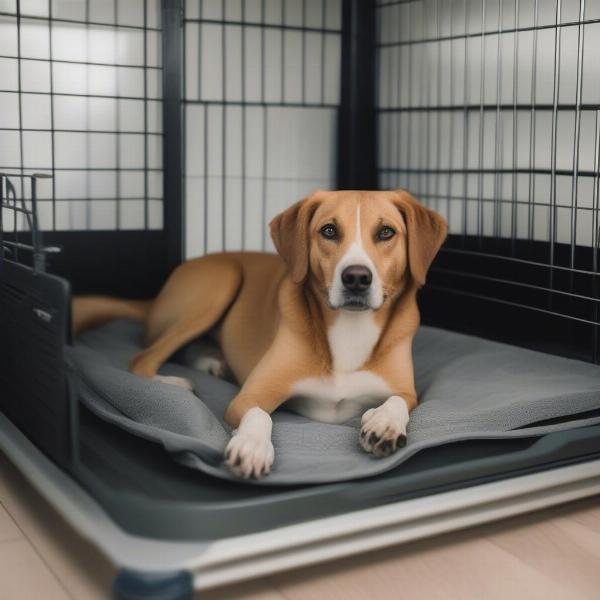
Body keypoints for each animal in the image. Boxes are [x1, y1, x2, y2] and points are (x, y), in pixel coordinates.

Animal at [71, 190, 446, 480]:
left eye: (386, 232)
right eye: (328, 230)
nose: (356, 277)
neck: (350, 330)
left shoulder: (407, 392)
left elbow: (398, 401)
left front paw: (384, 423)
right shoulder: (249, 395)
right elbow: (260, 413)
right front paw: (251, 446)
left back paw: (211, 363)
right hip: (220, 282)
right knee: (144, 357)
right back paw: (172, 383)